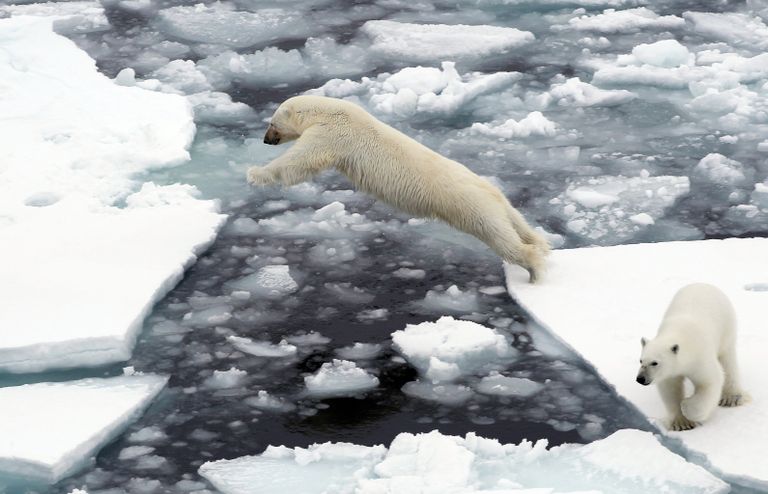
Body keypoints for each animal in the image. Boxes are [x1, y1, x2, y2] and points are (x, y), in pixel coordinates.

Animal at [246, 95, 549, 282]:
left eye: (271, 123)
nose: (265, 140)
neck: (329, 110)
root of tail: (492, 193)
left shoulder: (332, 133)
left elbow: (299, 161)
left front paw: (254, 173)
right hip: (498, 203)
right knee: (519, 224)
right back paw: (542, 245)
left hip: (472, 207)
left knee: (500, 237)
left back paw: (534, 269)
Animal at [636, 283, 748, 431]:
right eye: (641, 361)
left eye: (655, 363)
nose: (640, 379)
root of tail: (703, 284)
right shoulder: (671, 372)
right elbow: (671, 389)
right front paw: (681, 423)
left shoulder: (700, 357)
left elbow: (710, 381)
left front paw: (687, 406)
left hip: (727, 327)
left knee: (727, 359)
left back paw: (731, 398)